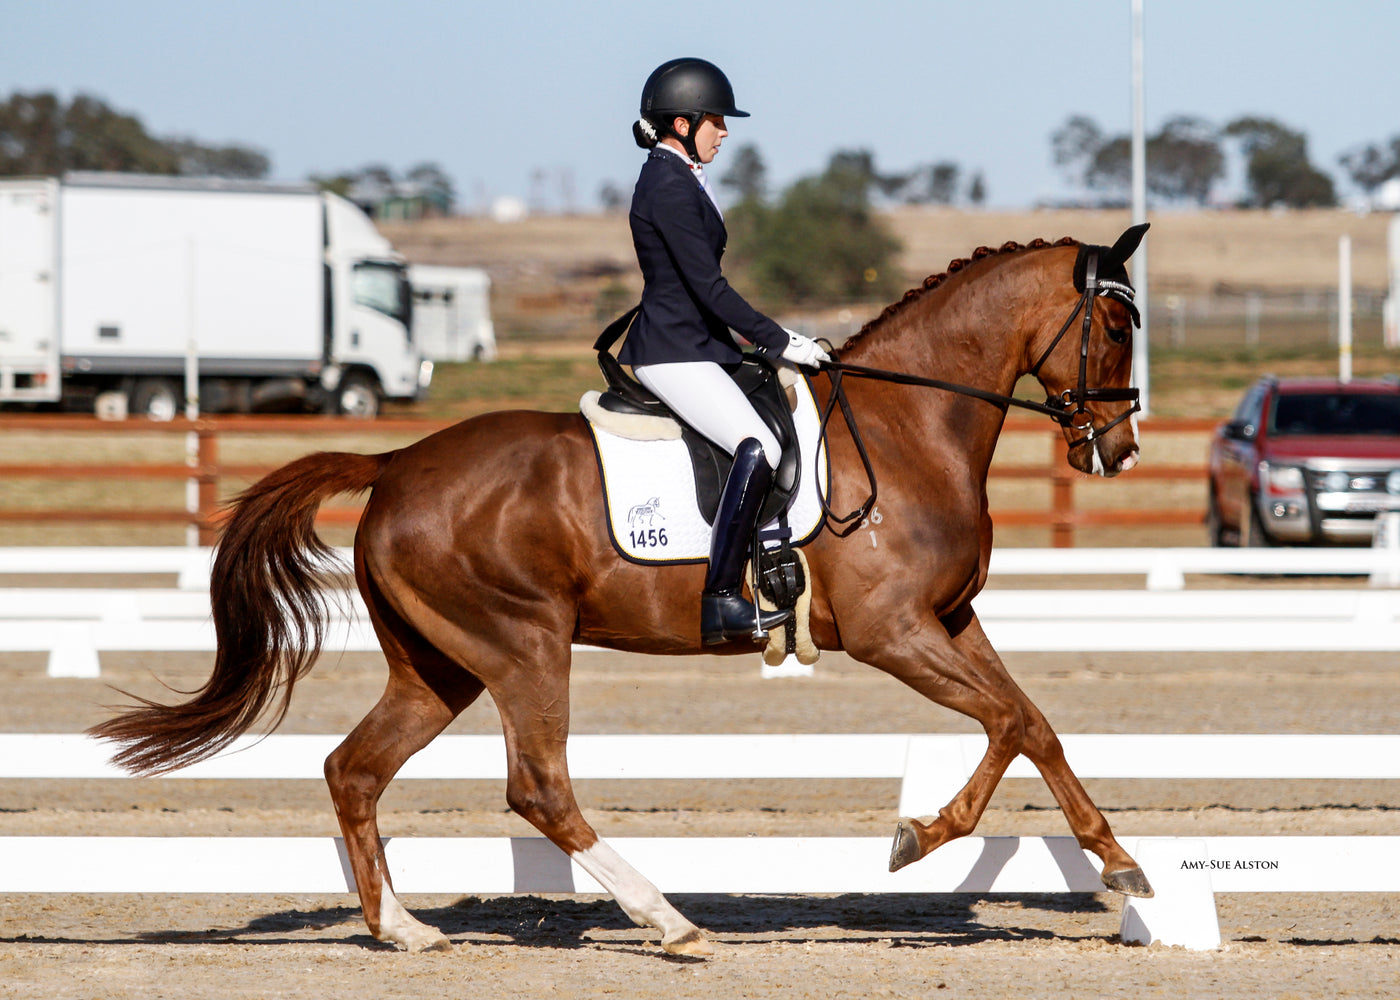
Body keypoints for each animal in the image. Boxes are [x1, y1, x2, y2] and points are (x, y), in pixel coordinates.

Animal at [93, 224, 1153, 952]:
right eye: (1112, 325)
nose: (1118, 447)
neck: (906, 427)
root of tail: (395, 465)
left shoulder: (950, 619)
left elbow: (1034, 723)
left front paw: (1121, 864)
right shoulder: (894, 632)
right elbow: (1006, 722)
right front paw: (920, 838)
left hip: (439, 666)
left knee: (355, 769)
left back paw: (406, 930)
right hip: (523, 647)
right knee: (538, 786)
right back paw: (668, 920)